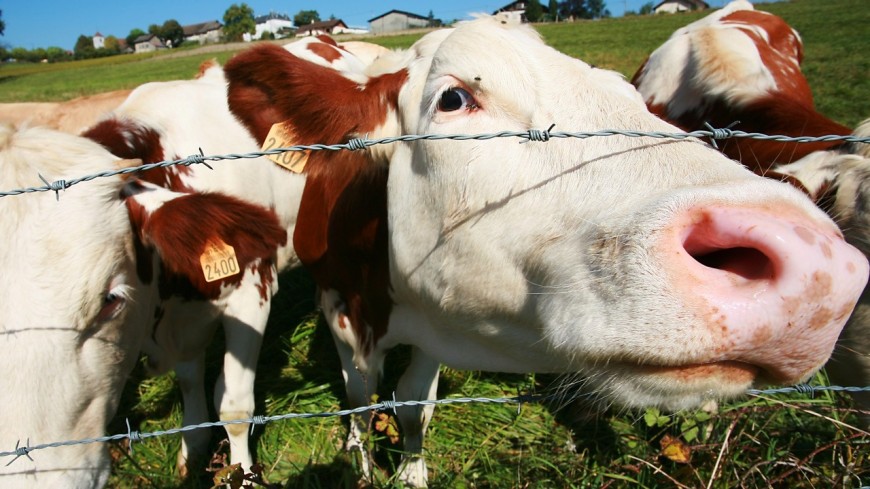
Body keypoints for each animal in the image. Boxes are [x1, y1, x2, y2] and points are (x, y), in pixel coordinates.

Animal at [0, 121, 288, 484]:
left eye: (110, 300)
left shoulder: (252, 289)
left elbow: (234, 407)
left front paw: (245, 476)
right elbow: (189, 379)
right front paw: (193, 447)